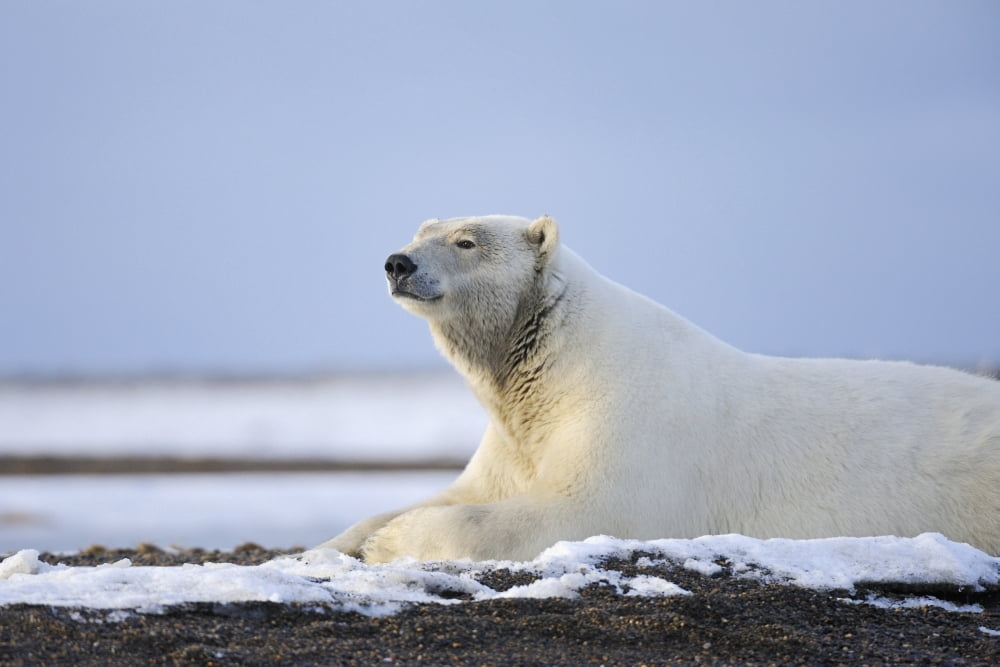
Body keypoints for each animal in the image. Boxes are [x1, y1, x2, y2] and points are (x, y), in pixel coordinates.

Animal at [319, 215, 1000, 562]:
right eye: (418, 233)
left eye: (466, 241)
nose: (397, 263)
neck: (554, 359)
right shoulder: (514, 437)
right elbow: (468, 490)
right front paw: (337, 543)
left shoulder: (627, 425)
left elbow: (578, 509)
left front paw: (389, 543)